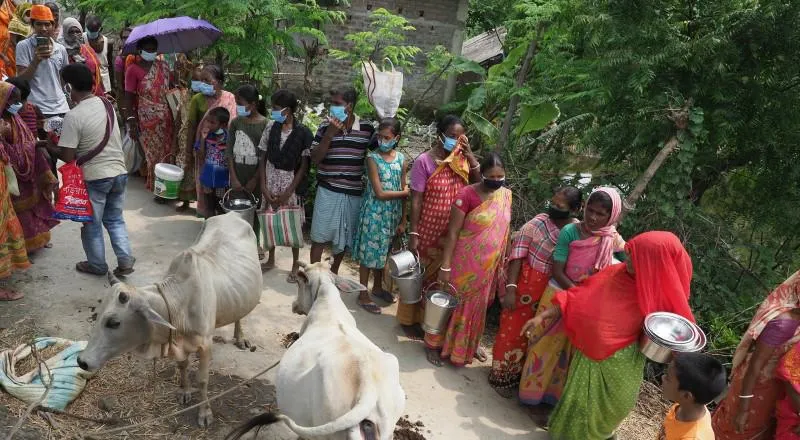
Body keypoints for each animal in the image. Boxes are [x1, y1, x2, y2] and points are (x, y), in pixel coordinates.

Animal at [76, 213, 262, 426]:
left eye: (114, 323)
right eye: (98, 315)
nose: (82, 361)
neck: (180, 301)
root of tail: (232, 214)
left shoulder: (206, 344)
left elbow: (202, 380)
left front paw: (204, 413)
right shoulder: (180, 344)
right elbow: (182, 366)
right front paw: (184, 391)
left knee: (241, 315)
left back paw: (240, 337)